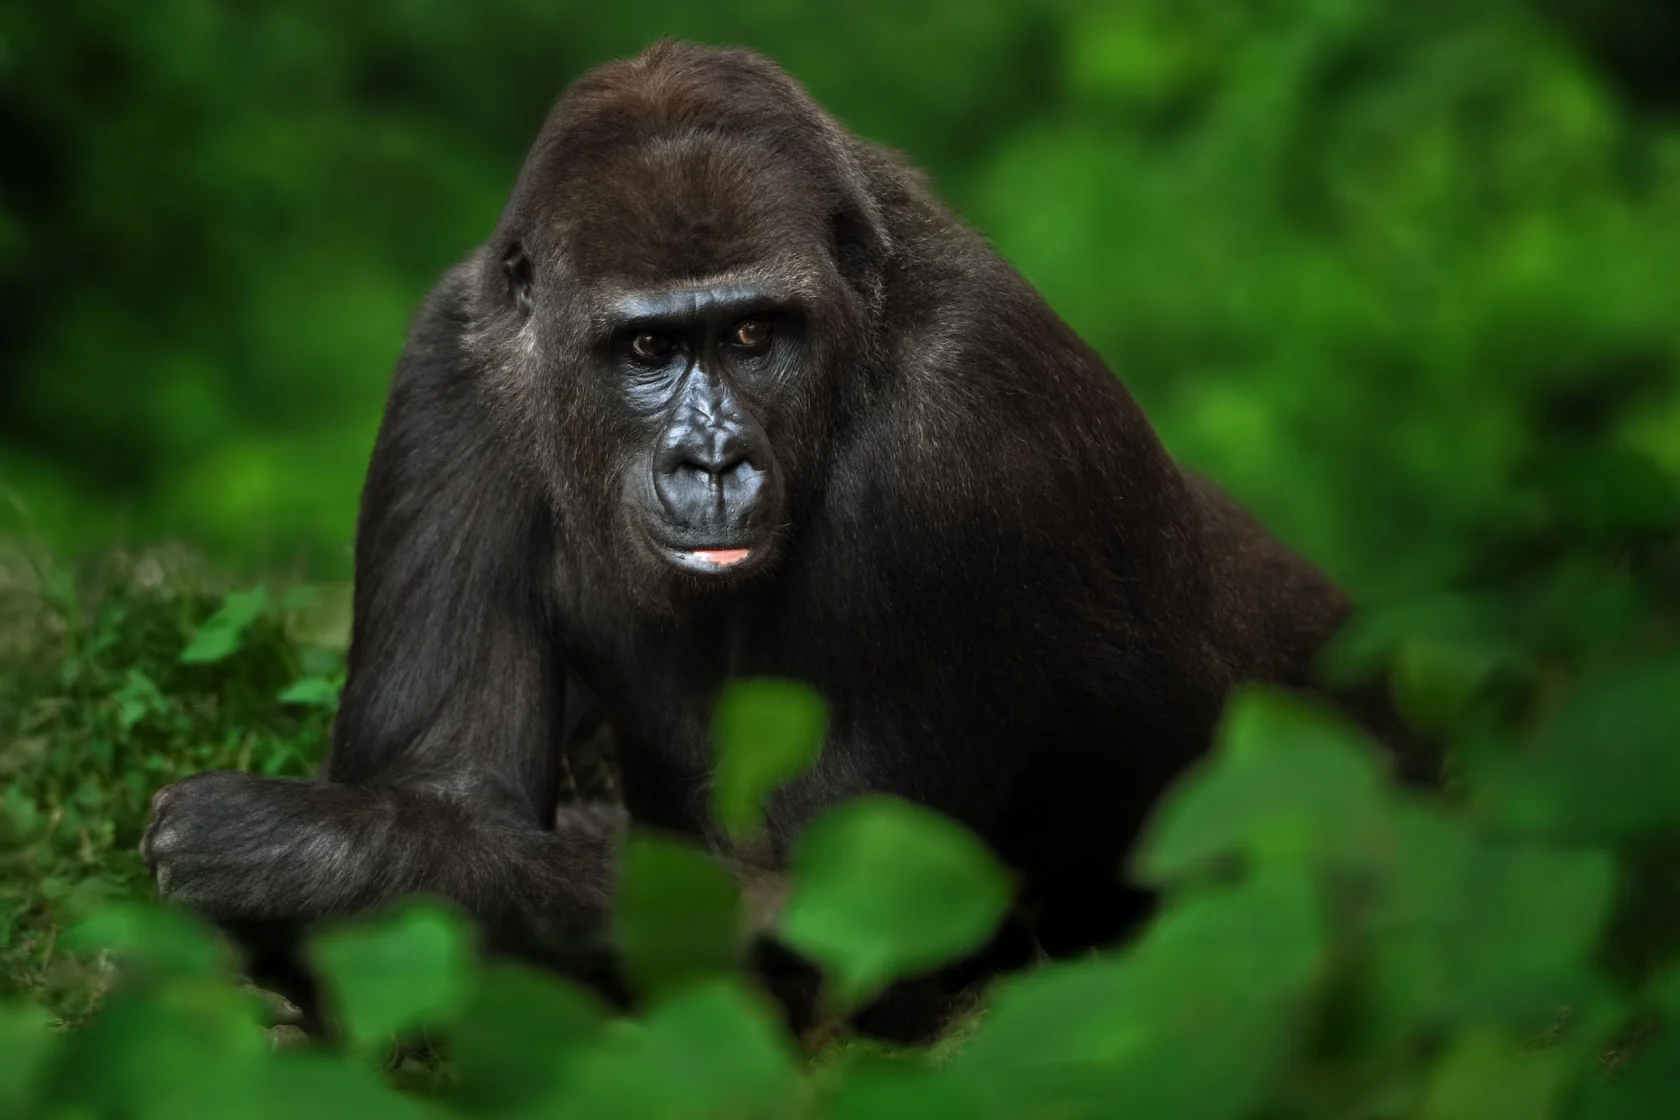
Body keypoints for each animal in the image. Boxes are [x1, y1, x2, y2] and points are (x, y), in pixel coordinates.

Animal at [141, 41, 1404, 1041]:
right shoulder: (453, 363)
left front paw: (293, 856)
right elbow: (440, 796)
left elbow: (832, 918)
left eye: (754, 335)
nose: (712, 461)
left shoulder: (966, 432)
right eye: (650, 349)